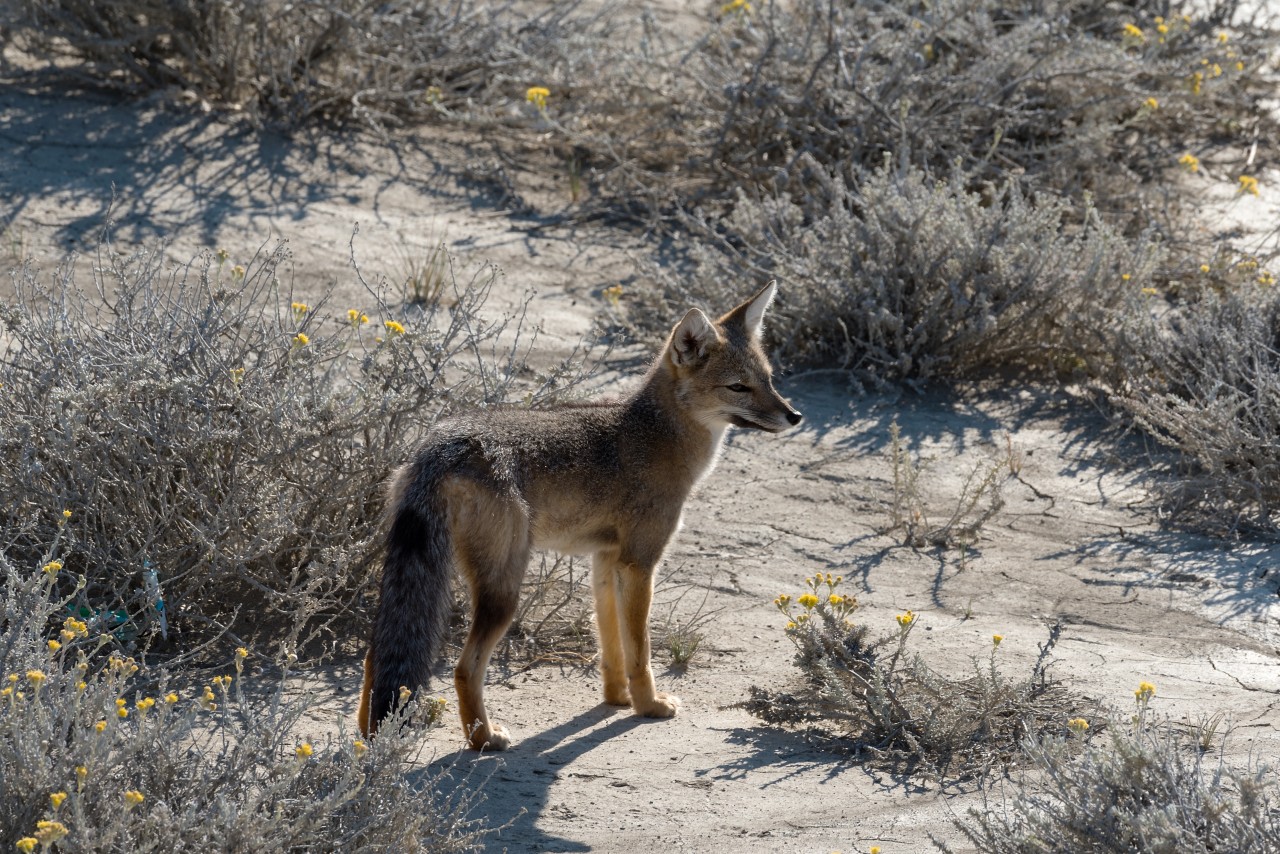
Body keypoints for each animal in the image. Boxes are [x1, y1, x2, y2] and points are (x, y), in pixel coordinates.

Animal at [360, 280, 798, 747]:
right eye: (738, 387)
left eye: (768, 380)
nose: (794, 415)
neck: (657, 435)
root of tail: (441, 444)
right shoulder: (640, 564)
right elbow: (640, 651)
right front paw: (649, 706)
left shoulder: (605, 562)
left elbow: (611, 645)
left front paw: (617, 699)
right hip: (504, 593)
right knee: (464, 669)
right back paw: (485, 740)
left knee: (376, 656)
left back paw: (368, 737)